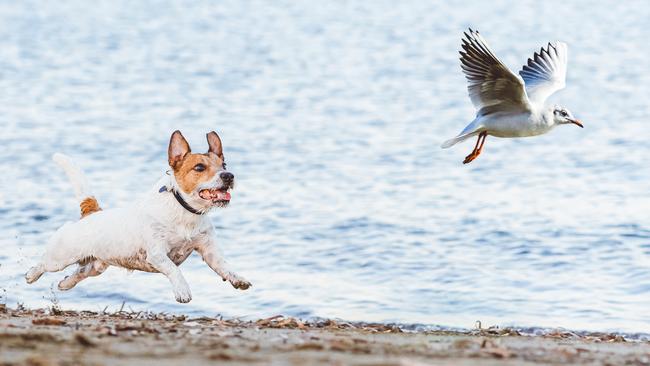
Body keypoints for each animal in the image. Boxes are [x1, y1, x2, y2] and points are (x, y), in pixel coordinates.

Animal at [24, 130, 251, 302]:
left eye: (224, 166)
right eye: (200, 167)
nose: (229, 176)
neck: (185, 211)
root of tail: (91, 213)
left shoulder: (209, 251)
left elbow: (224, 266)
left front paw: (237, 278)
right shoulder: (157, 254)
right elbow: (174, 270)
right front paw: (183, 290)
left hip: (96, 266)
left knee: (79, 273)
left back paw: (65, 284)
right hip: (59, 258)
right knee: (43, 263)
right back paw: (31, 275)